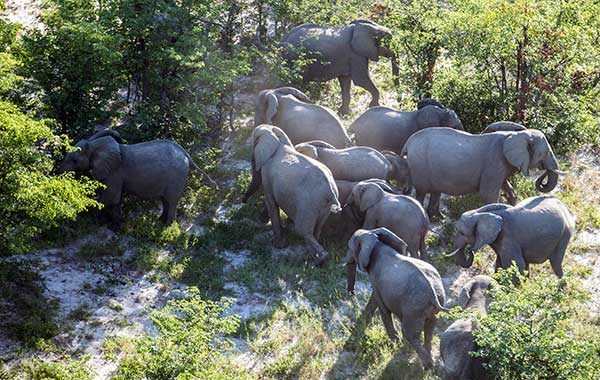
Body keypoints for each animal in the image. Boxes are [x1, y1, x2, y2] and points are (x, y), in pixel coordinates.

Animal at [56, 130, 216, 226]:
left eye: (74, 160)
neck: (94, 145)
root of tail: (186, 154)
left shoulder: (115, 172)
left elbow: (110, 198)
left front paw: (101, 222)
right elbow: (115, 199)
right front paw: (118, 224)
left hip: (177, 175)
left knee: (171, 200)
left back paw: (166, 227)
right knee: (165, 200)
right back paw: (159, 222)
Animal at [244, 124, 340, 264]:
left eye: (253, 144)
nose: (243, 201)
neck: (278, 139)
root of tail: (330, 191)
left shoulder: (267, 172)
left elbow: (271, 201)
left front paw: (278, 245)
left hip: (308, 205)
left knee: (302, 230)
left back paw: (320, 259)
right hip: (324, 206)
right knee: (317, 228)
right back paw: (313, 256)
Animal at [344, 229, 448, 368]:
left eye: (349, 248)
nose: (352, 294)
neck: (375, 240)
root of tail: (433, 295)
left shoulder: (377, 280)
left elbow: (383, 309)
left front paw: (395, 343)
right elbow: (375, 300)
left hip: (413, 308)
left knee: (410, 333)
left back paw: (426, 366)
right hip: (435, 302)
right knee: (429, 329)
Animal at [404, 127, 564, 218]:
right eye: (545, 153)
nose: (543, 172)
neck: (516, 135)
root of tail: (408, 143)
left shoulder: (501, 165)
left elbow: (507, 186)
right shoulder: (495, 161)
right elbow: (489, 194)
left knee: (436, 191)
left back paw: (438, 218)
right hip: (420, 165)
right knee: (421, 192)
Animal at [448, 196, 576, 276]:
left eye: (462, 233)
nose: (469, 250)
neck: (481, 213)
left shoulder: (508, 237)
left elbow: (516, 267)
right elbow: (500, 265)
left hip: (565, 233)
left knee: (556, 263)